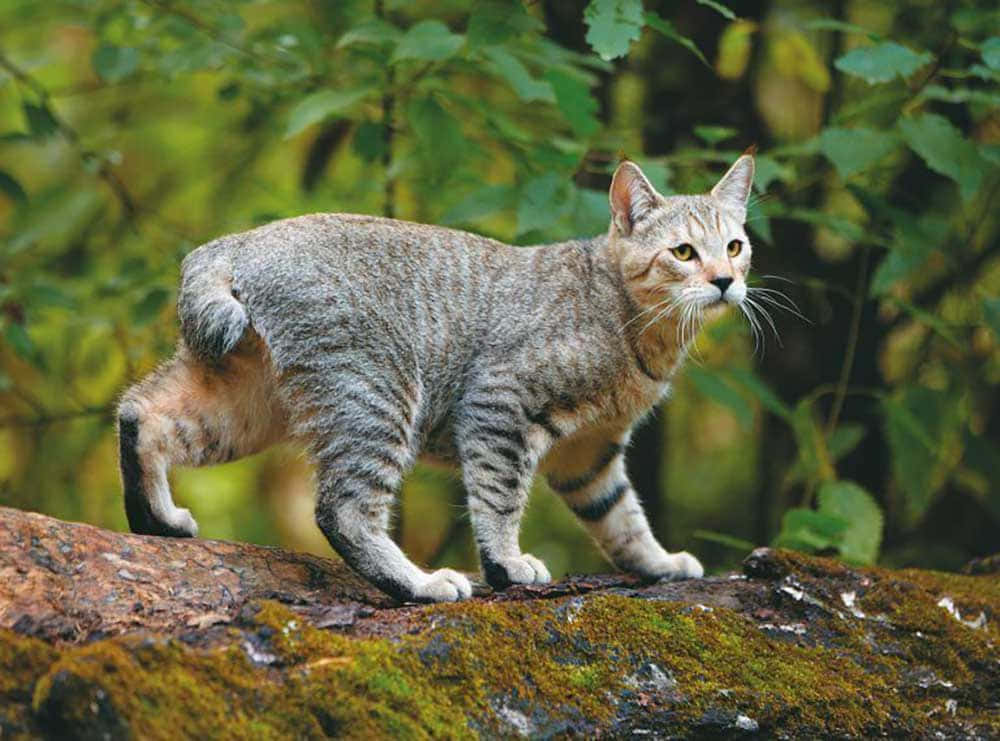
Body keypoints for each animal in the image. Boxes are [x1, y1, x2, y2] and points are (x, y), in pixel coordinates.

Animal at [117, 150, 752, 600]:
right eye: (684, 253)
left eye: (735, 246)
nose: (726, 281)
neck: (632, 322)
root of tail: (236, 241)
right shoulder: (500, 403)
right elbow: (499, 497)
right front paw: (506, 565)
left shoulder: (590, 454)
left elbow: (623, 519)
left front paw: (660, 564)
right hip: (376, 394)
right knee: (342, 508)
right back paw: (420, 584)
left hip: (246, 402)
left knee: (142, 412)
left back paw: (155, 519)